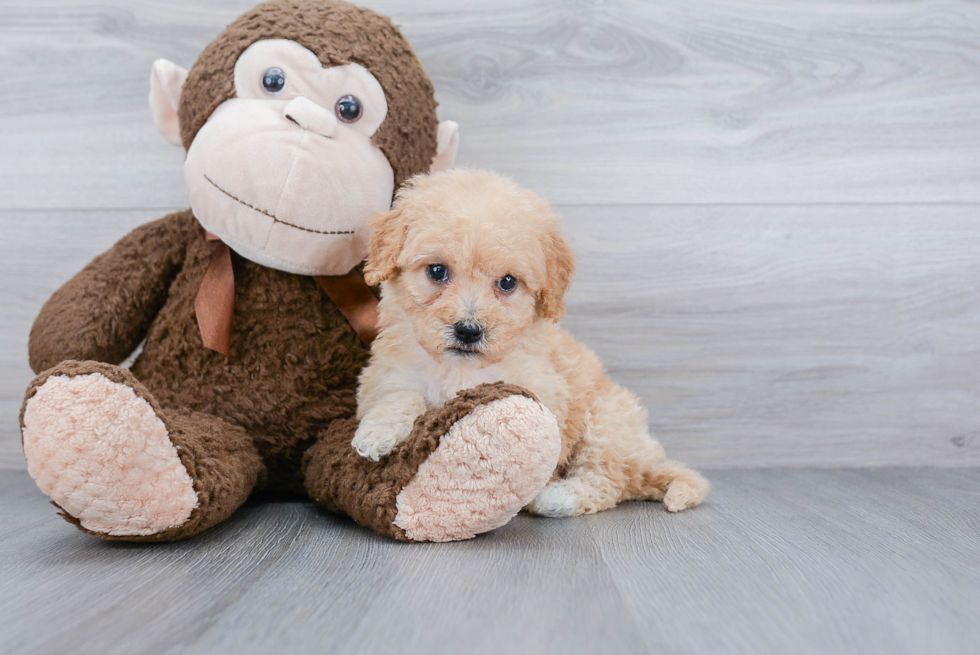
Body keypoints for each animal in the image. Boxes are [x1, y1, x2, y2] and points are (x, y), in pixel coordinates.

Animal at [356, 169, 708, 516]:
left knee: (608, 481)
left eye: (508, 282)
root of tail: (646, 463)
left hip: (609, 420)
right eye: (437, 271)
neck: (460, 368)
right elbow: (402, 395)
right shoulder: (386, 375)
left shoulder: (540, 390)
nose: (469, 330)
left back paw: (559, 497)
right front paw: (378, 431)